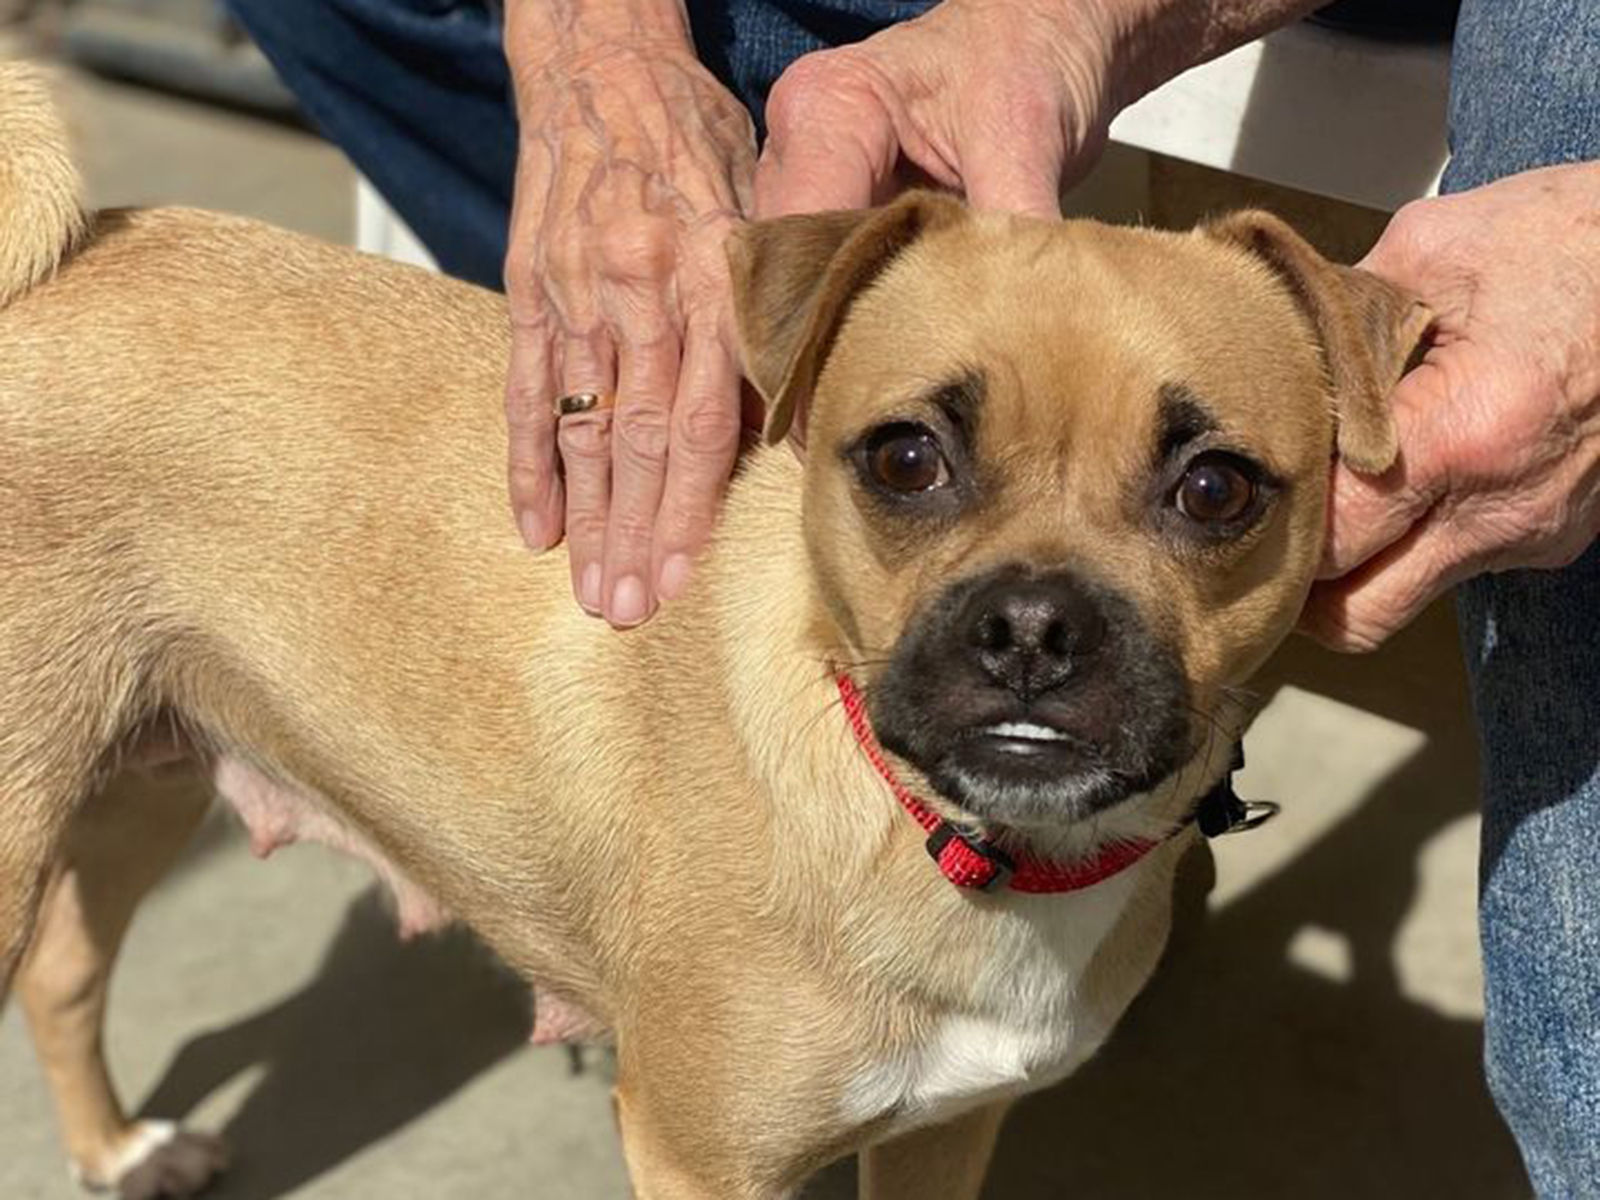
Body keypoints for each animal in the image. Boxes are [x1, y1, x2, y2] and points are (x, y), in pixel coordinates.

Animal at [0, 63, 1427, 1200]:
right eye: (904, 459)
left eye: (1216, 490)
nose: (1032, 625)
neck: (961, 847)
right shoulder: (701, 1159)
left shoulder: (938, 1139)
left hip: (146, 776)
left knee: (62, 977)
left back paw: (119, 1151)